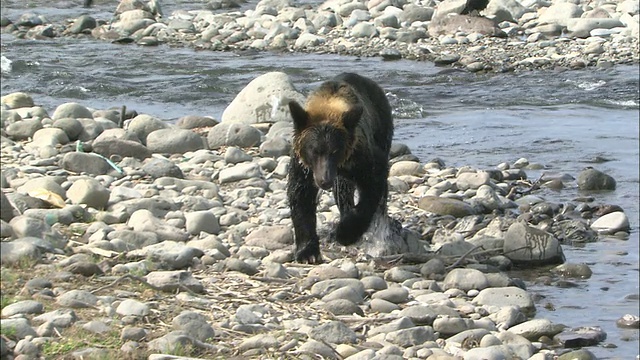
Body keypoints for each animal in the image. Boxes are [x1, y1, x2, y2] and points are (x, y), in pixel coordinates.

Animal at [286, 72, 396, 264]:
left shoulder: (361, 156)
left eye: (335, 151)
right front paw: (308, 253)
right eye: (314, 150)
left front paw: (346, 233)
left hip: (382, 128)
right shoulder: (303, 166)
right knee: (343, 192)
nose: (324, 180)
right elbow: (300, 196)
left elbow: (373, 184)